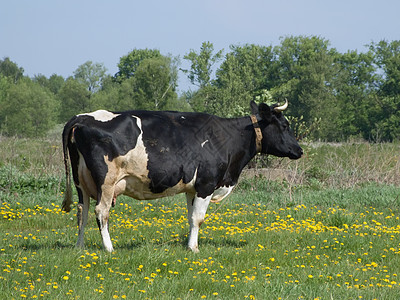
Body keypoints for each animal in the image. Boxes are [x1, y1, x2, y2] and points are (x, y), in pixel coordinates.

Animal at [61, 101, 302, 253]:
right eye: (285, 125)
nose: (299, 150)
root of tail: (81, 118)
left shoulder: (191, 188)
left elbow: (190, 217)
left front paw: (189, 243)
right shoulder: (206, 184)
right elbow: (198, 218)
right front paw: (194, 248)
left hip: (81, 182)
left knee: (82, 212)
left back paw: (79, 247)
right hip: (106, 181)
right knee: (101, 212)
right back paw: (109, 248)